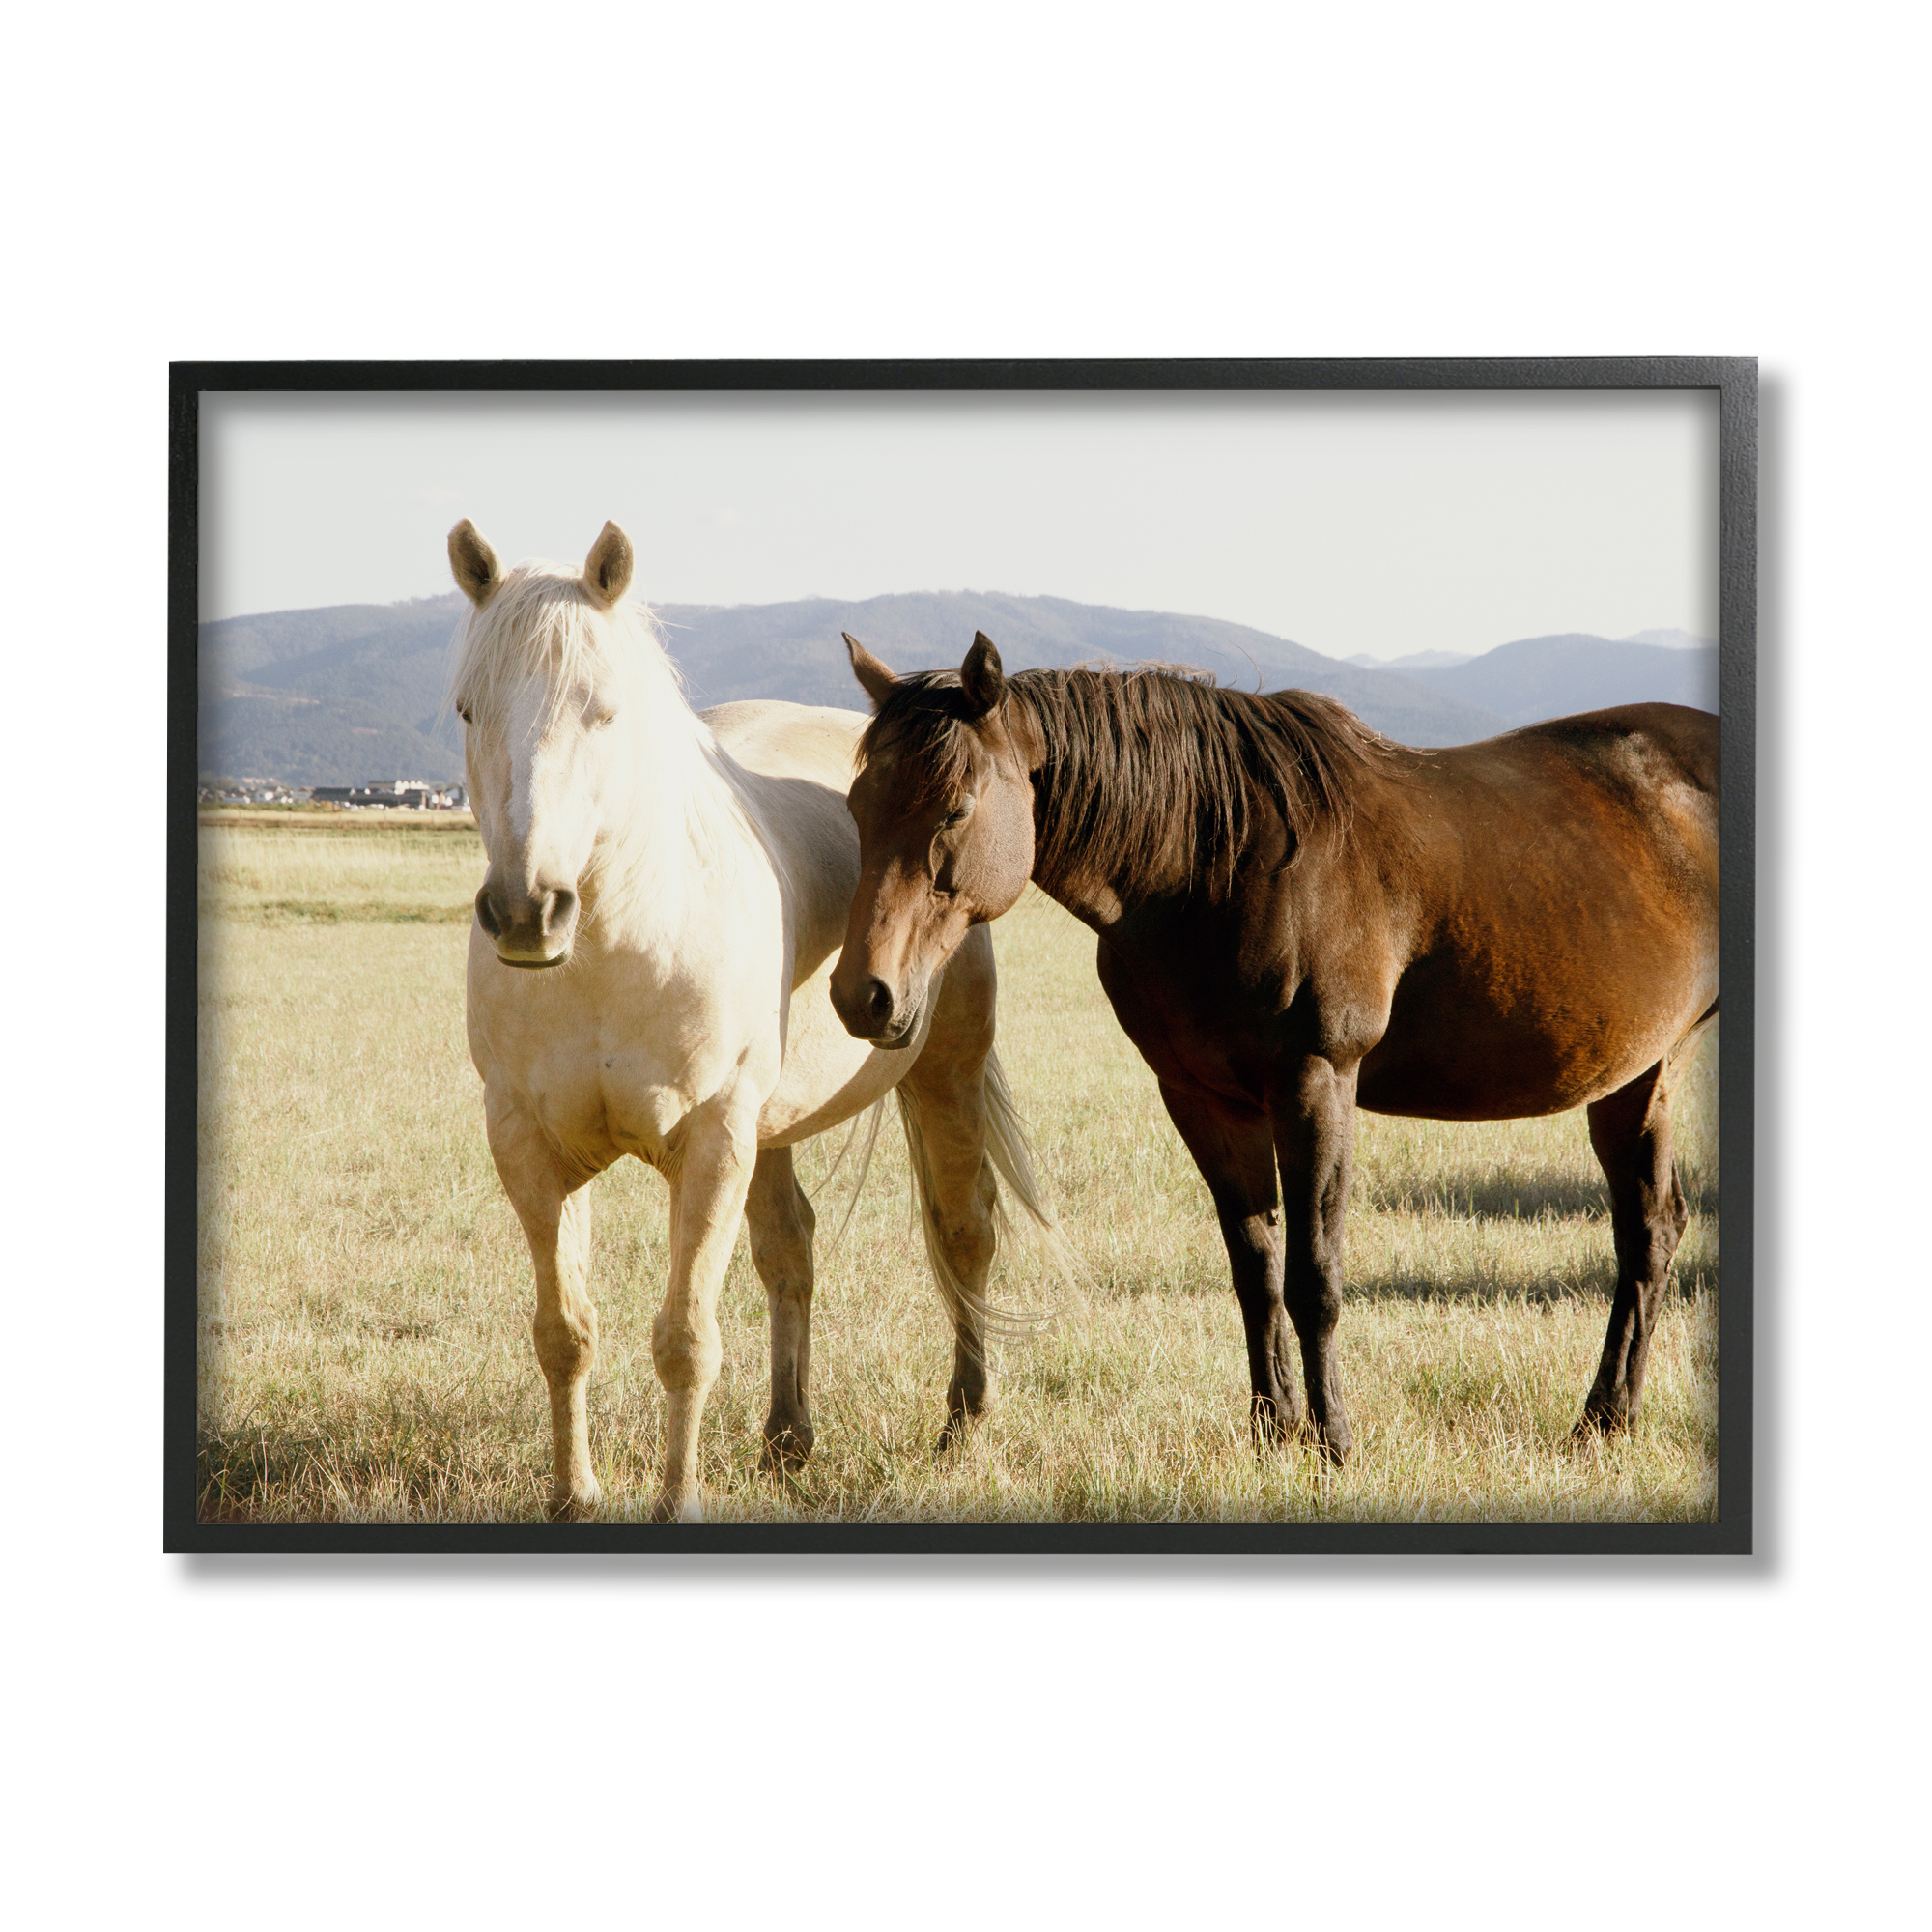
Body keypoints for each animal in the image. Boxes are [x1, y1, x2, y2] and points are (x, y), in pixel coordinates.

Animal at [446, 526, 1063, 1522]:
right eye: (468, 710)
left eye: (604, 712)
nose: (527, 913)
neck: (620, 947)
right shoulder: (528, 1146)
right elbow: (564, 1333)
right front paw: (574, 1497)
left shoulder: (711, 1140)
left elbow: (685, 1341)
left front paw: (677, 1503)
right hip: (769, 1128)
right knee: (790, 1251)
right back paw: (787, 1438)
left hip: (942, 1072)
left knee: (965, 1232)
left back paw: (964, 1426)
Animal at [830, 631, 1719, 1461]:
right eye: (858, 809)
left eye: (955, 808)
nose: (862, 995)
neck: (1215, 866)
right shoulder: (1203, 1099)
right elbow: (1254, 1273)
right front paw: (1273, 1430)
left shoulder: (1316, 1082)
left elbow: (1313, 1278)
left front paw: (1334, 1442)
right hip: (1638, 1072)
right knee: (1651, 1230)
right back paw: (1605, 1421)